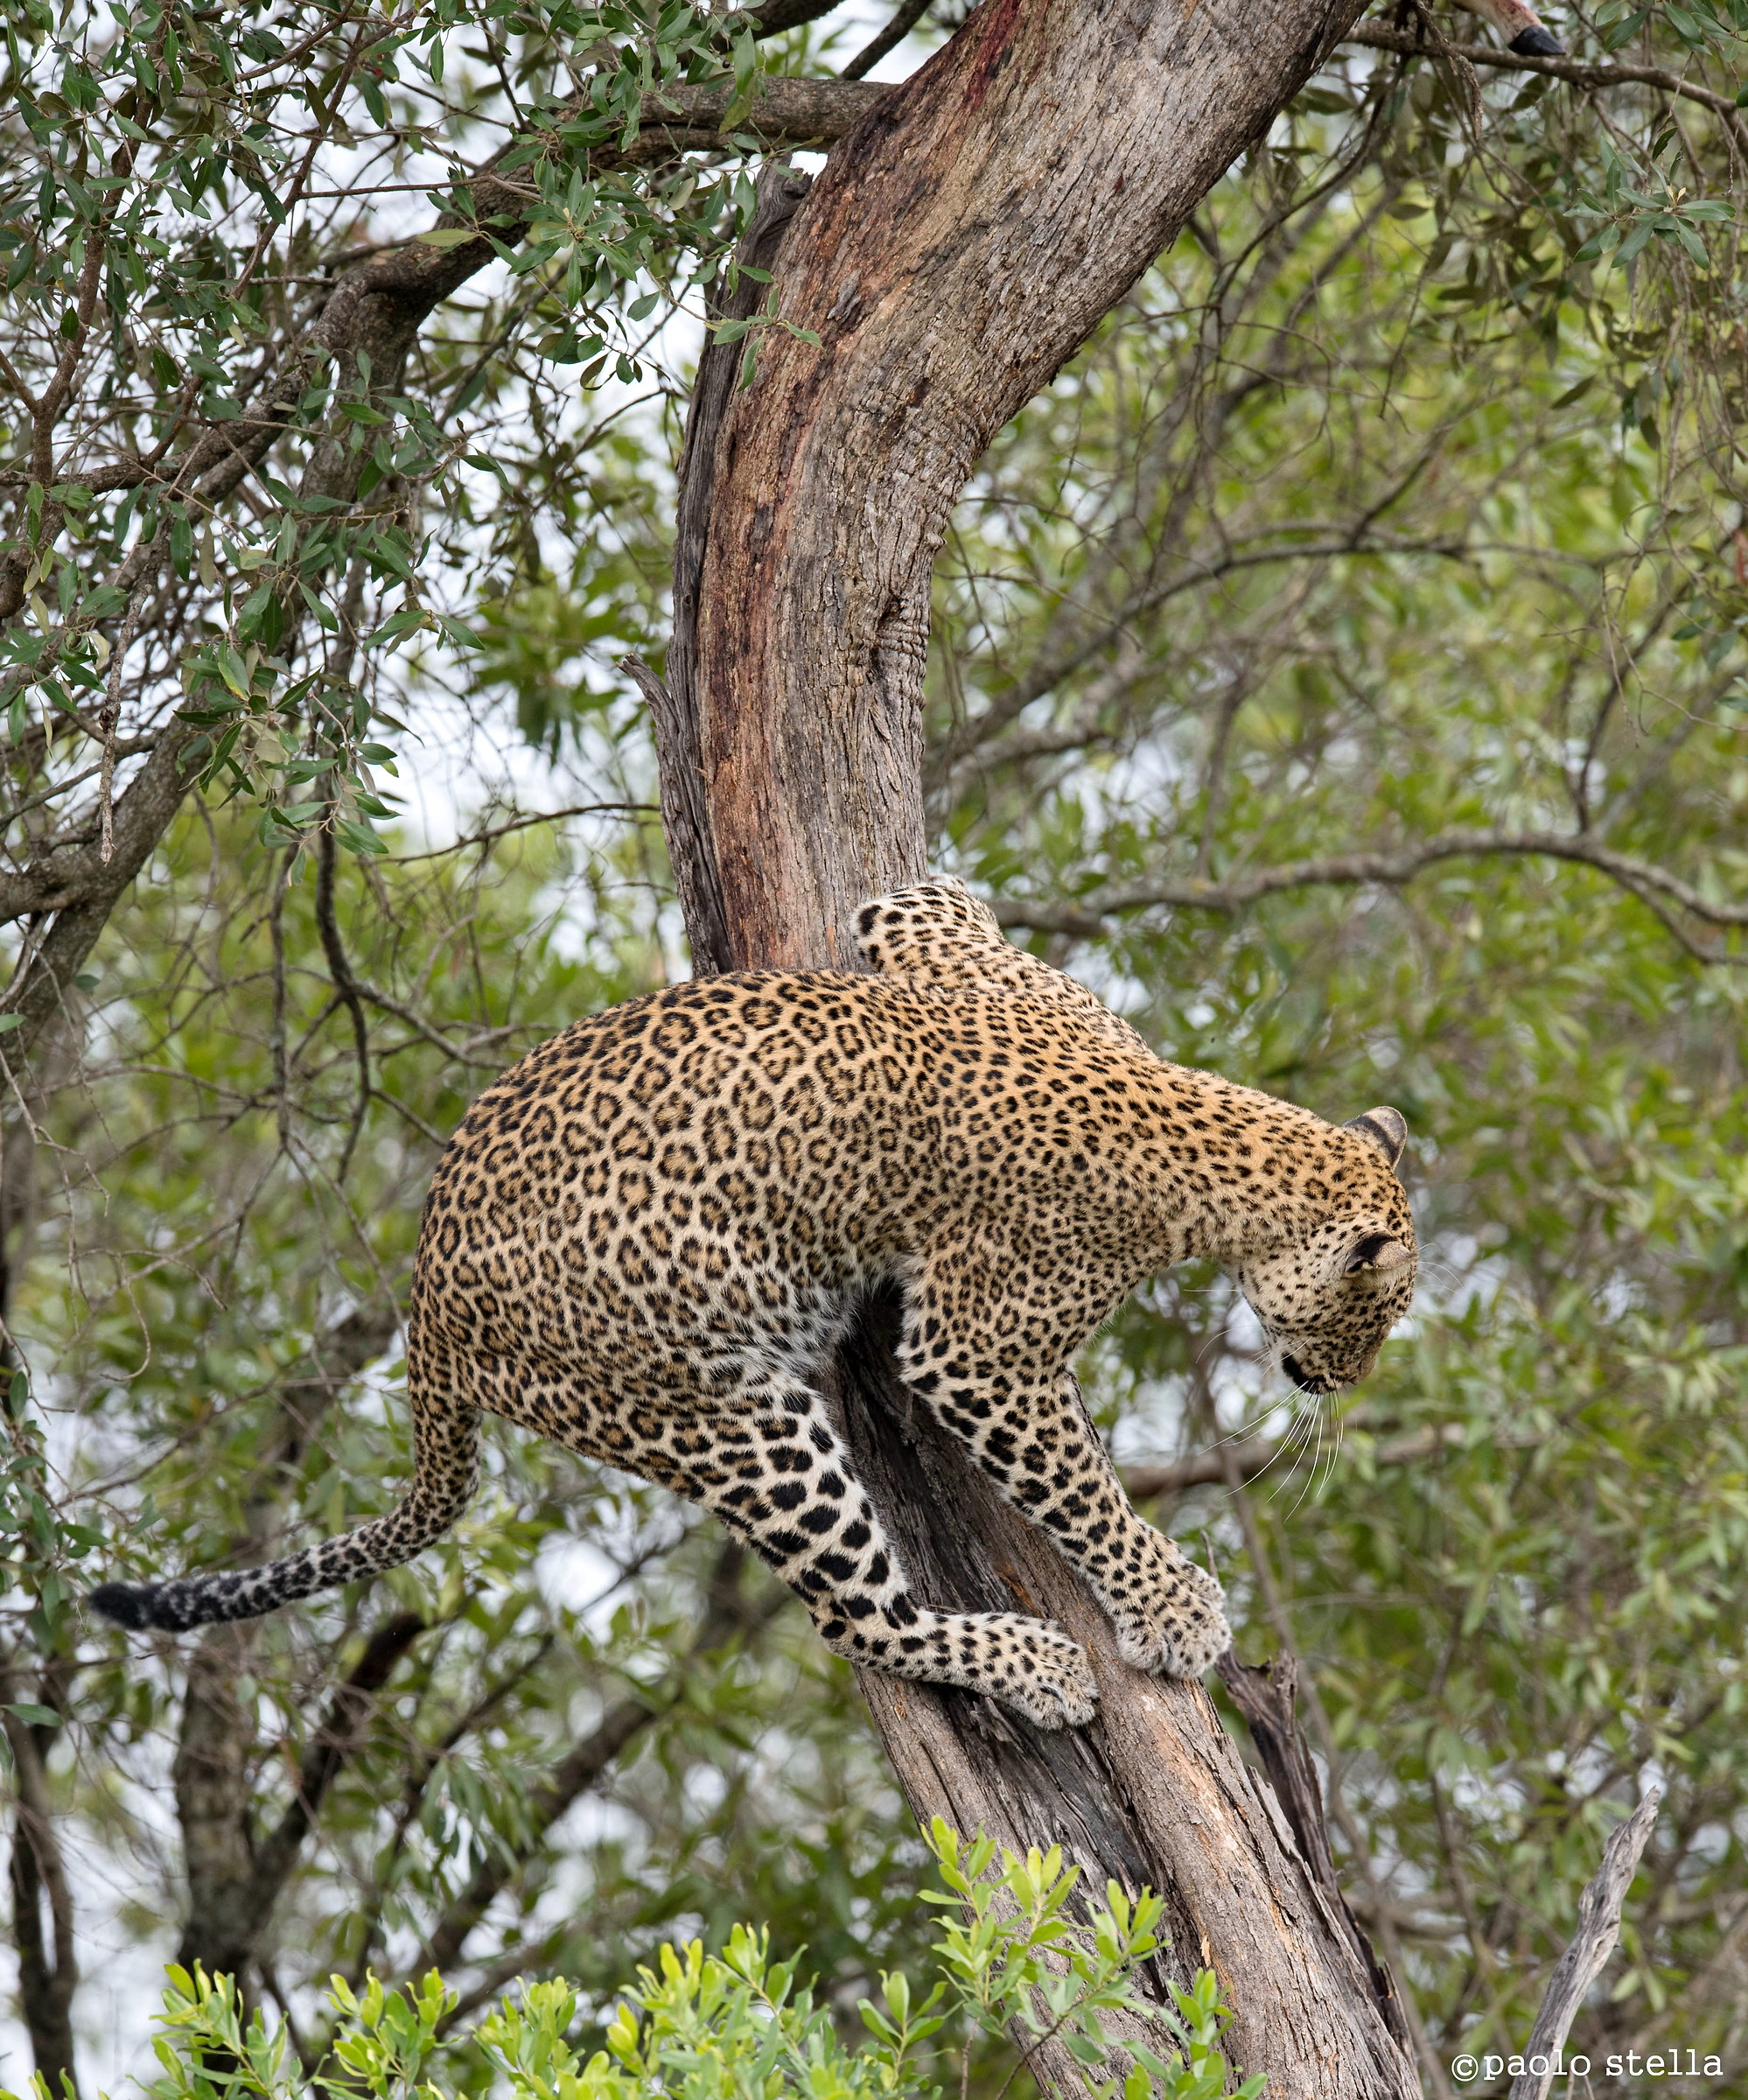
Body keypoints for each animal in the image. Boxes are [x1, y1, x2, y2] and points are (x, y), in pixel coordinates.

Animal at [88, 878, 1411, 1730]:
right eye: (1379, 1321)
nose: (1339, 1381)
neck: (1222, 1147)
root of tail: (427, 1313)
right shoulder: (979, 1351)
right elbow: (1079, 1487)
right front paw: (1171, 1604)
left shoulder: (955, 958)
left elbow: (921, 903)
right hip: (726, 1416)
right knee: (856, 1621)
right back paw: (1030, 1663)